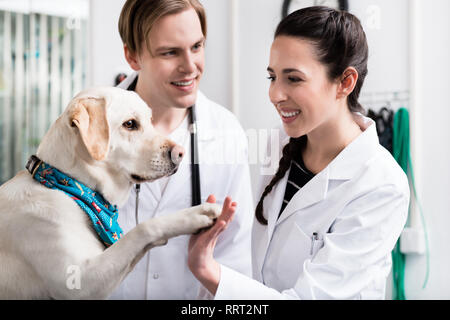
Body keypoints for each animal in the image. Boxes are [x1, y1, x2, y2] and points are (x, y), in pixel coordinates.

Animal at [0, 86, 220, 298]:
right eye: (130, 124)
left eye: (150, 120)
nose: (181, 153)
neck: (70, 188)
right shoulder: (80, 282)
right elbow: (143, 228)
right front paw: (195, 215)